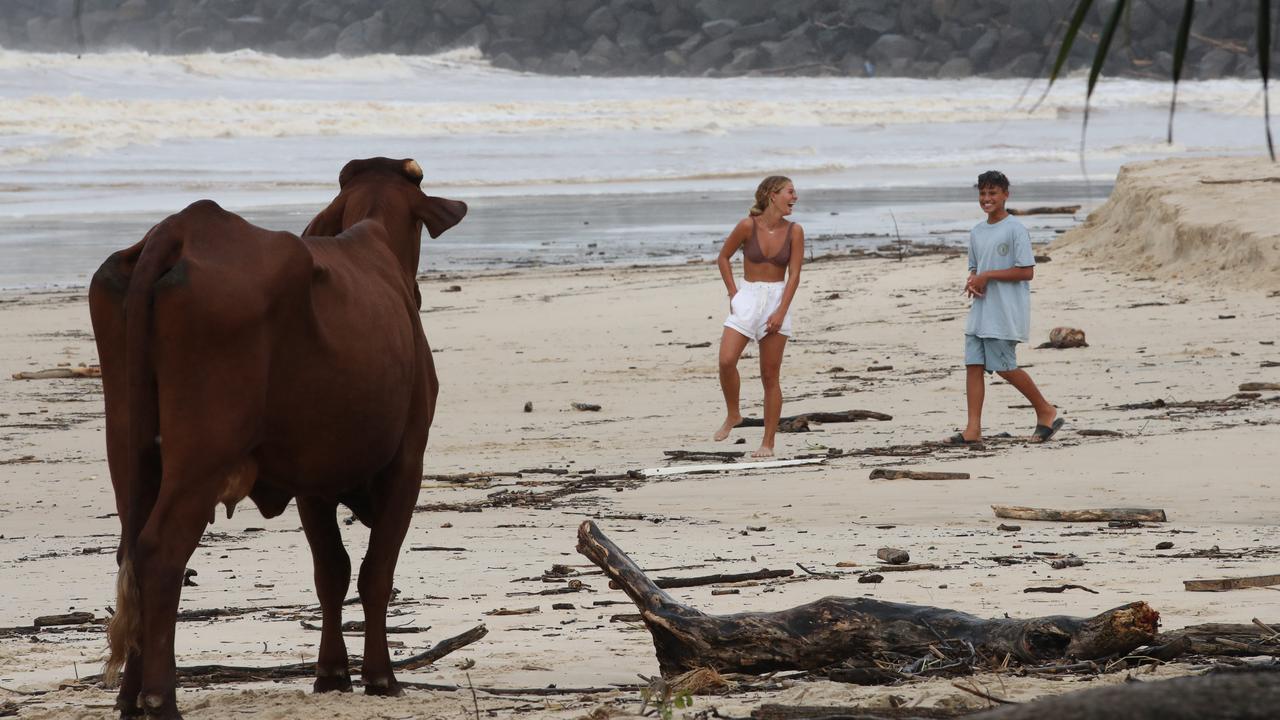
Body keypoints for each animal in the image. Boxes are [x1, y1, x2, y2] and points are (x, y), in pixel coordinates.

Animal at [90, 158, 471, 717]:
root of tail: (183, 226)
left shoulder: (312, 478)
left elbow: (331, 572)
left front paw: (331, 673)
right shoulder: (407, 461)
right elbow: (375, 573)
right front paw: (380, 676)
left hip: (129, 447)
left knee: (130, 550)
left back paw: (129, 696)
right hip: (202, 455)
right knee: (160, 551)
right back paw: (161, 697)